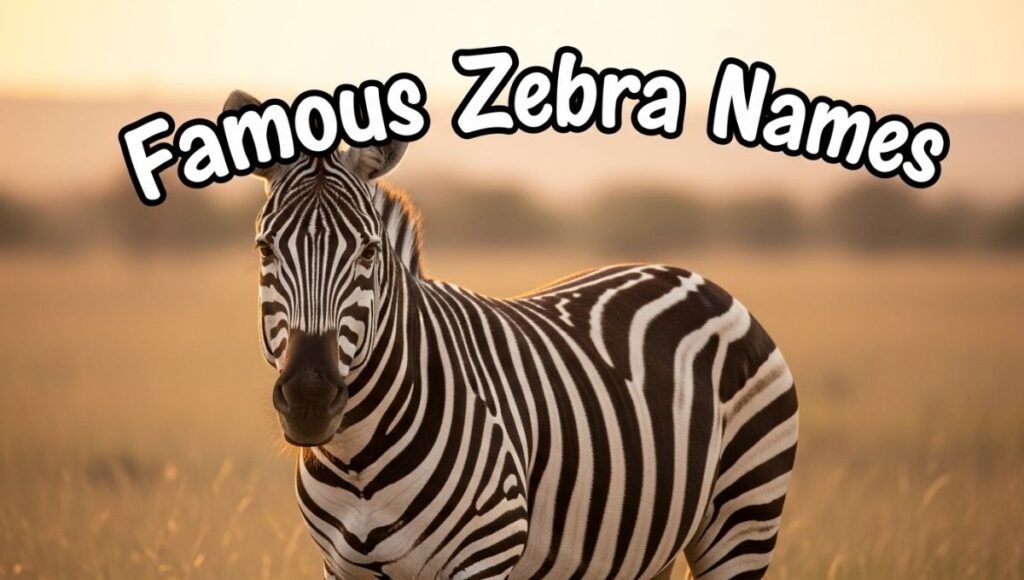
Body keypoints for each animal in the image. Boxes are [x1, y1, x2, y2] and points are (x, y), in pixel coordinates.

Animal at [225, 90, 799, 579]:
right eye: (264, 249)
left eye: (368, 252)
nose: (310, 399)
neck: (358, 458)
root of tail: (690, 275)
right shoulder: (341, 566)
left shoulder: (485, 554)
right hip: (649, 548)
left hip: (744, 515)